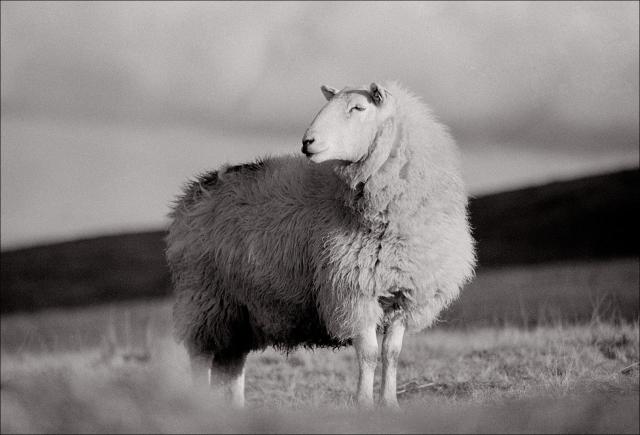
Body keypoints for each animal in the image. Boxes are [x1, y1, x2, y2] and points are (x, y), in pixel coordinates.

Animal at [165, 82, 476, 409]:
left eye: (358, 108)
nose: (307, 142)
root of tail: (196, 191)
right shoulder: (353, 293)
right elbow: (368, 355)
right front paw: (364, 402)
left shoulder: (402, 297)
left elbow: (391, 354)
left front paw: (390, 403)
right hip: (203, 300)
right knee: (201, 356)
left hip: (239, 310)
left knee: (232, 363)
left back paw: (236, 407)